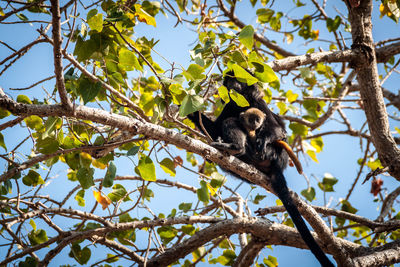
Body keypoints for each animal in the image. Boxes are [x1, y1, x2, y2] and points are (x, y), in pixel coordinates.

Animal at [188, 73, 334, 267]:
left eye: (236, 80)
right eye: (228, 81)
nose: (230, 86)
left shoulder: (257, 102)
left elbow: (280, 129)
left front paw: (264, 138)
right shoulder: (230, 104)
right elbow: (214, 128)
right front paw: (190, 111)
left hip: (268, 153)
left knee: (240, 125)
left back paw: (237, 147)